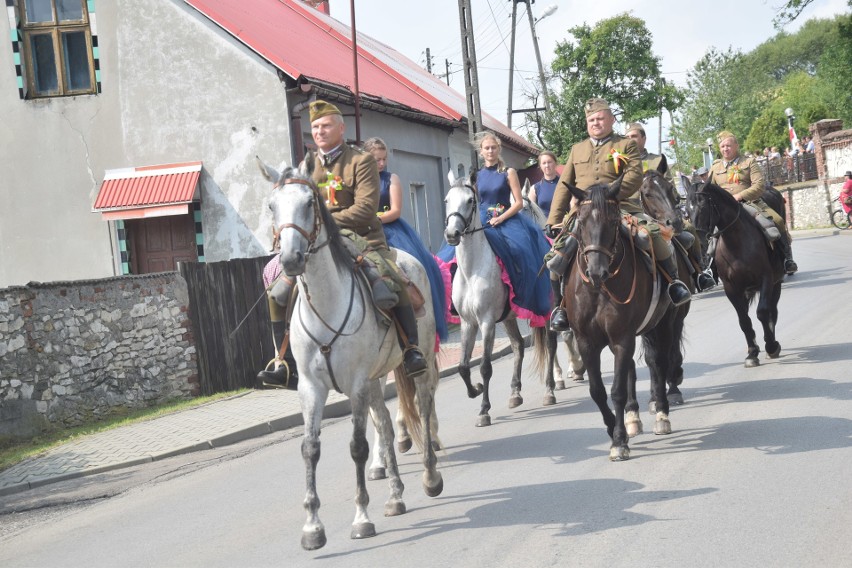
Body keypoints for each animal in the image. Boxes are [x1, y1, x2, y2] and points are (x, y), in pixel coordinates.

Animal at [258, 156, 446, 552]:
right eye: (271, 206)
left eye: (309, 203)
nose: (291, 259)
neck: (326, 305)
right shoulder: (311, 388)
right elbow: (310, 449)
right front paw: (312, 527)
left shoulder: (356, 384)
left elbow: (357, 447)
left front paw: (361, 518)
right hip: (375, 380)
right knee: (386, 426)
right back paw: (395, 495)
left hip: (414, 366)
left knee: (423, 408)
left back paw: (430, 477)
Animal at [446, 172, 552, 426]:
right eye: (446, 200)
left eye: (470, 201)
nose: (452, 234)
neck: (472, 270)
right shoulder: (468, 323)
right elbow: (463, 366)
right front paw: (475, 389)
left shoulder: (486, 321)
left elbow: (485, 366)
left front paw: (484, 410)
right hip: (509, 317)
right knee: (518, 345)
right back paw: (515, 393)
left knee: (551, 345)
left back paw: (550, 389)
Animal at [564, 178, 684, 462]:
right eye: (581, 221)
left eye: (612, 221)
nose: (596, 271)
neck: (598, 289)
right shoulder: (586, 342)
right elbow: (597, 391)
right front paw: (613, 429)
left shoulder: (622, 338)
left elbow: (617, 390)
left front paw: (619, 441)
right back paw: (633, 418)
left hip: (664, 322)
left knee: (659, 362)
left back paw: (661, 413)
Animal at [692, 183, 784, 368]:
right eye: (687, 208)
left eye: (703, 205)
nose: (699, 240)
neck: (736, 243)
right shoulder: (731, 288)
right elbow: (744, 320)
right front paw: (752, 353)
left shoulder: (766, 279)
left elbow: (762, 312)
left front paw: (771, 346)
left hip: (776, 283)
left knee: (772, 310)